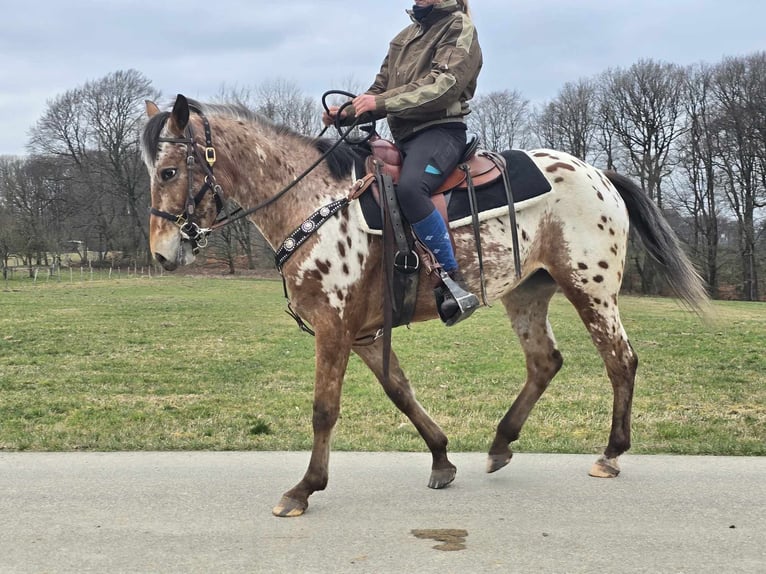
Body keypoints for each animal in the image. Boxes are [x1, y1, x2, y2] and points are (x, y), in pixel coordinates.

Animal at [142, 93, 708, 516]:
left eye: (168, 172)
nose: (163, 252)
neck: (317, 202)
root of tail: (600, 175)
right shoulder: (364, 333)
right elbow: (401, 391)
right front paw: (441, 459)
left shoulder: (333, 327)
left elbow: (325, 409)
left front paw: (303, 489)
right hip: (527, 292)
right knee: (545, 362)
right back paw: (501, 443)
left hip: (591, 288)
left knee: (621, 361)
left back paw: (610, 454)